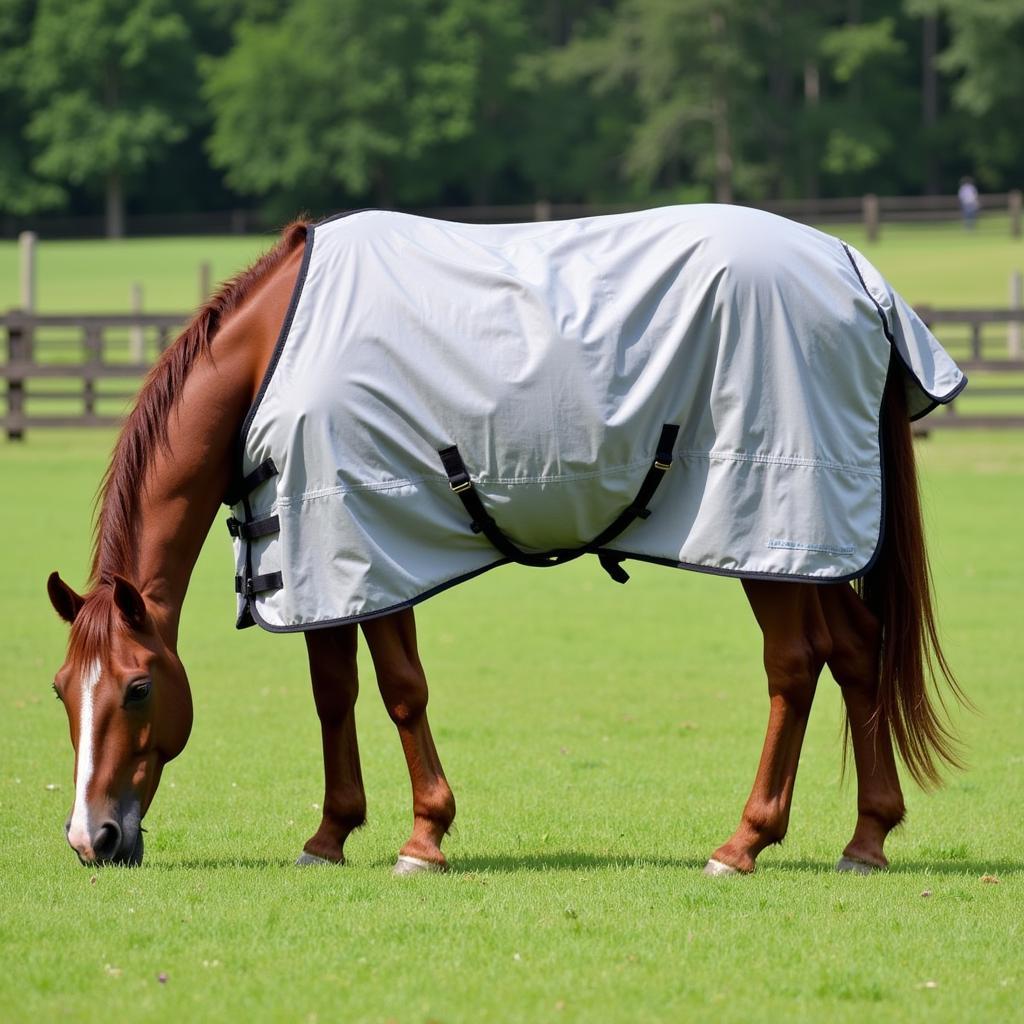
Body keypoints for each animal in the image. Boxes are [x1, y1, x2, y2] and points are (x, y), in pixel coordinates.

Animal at [46, 205, 966, 872]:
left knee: (795, 666)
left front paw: (424, 838)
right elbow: (333, 692)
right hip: (807, 548)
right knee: (856, 651)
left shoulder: (372, 543)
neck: (273, 353)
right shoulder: (320, 558)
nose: (92, 839)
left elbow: (400, 690)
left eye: (136, 689)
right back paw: (867, 838)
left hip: (768, 532)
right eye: (61, 692)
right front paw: (330, 836)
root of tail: (853, 273)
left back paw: (744, 842)